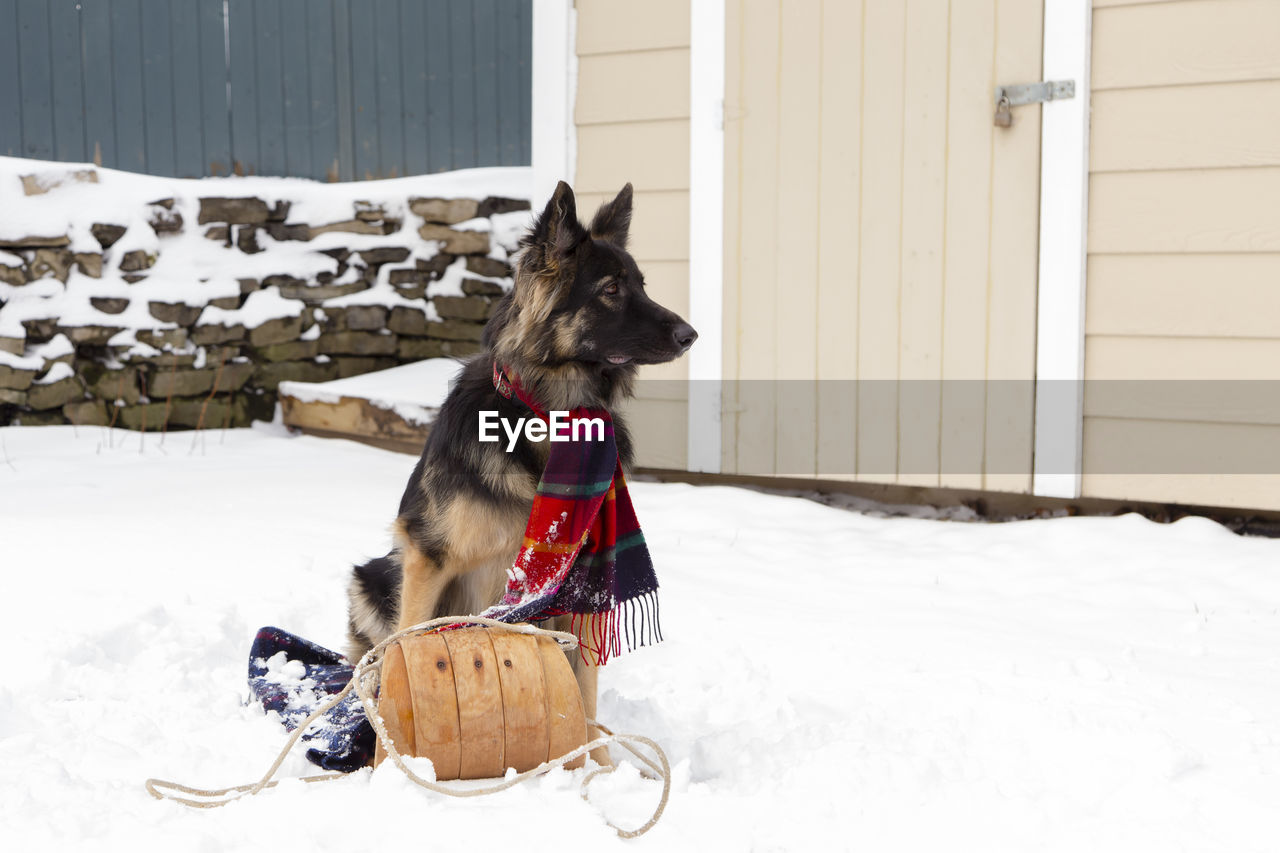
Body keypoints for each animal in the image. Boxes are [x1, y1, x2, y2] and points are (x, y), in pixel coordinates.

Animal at [345, 183, 696, 758]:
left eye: (642, 285)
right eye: (611, 290)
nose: (691, 334)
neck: (547, 415)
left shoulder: (580, 591)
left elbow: (584, 694)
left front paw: (598, 766)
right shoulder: (427, 558)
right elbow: (402, 652)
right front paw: (388, 762)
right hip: (373, 578)